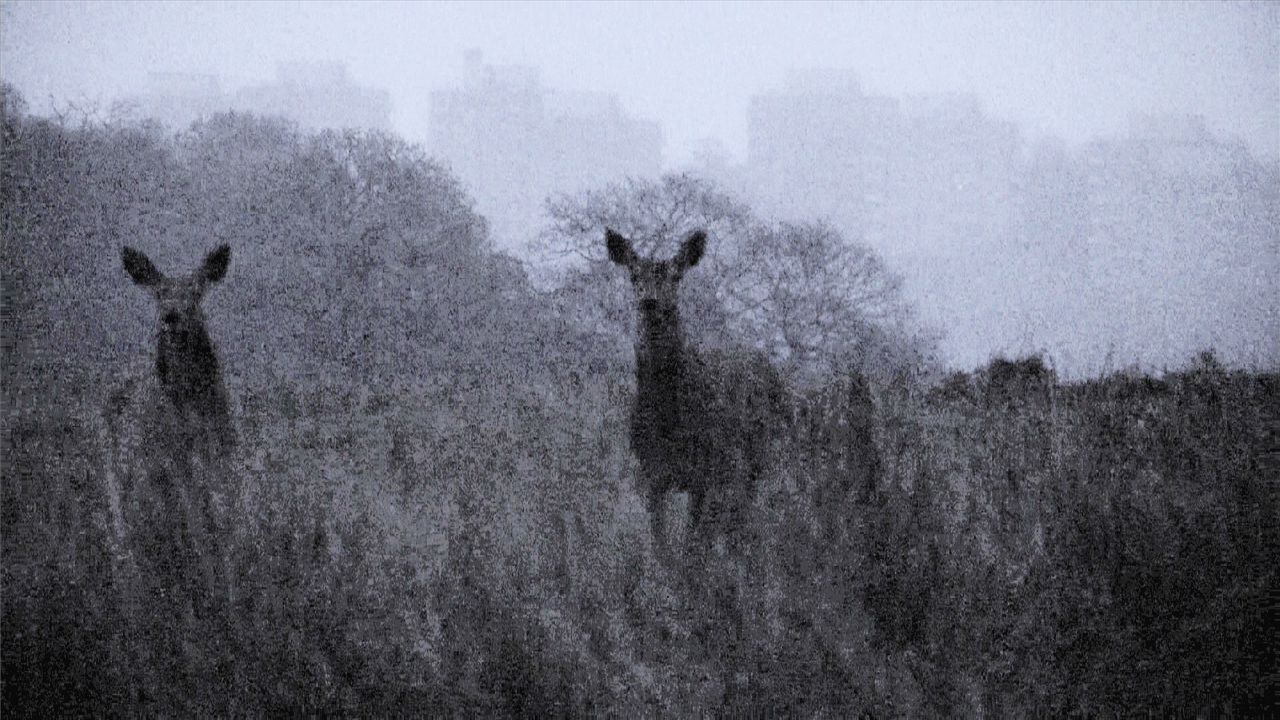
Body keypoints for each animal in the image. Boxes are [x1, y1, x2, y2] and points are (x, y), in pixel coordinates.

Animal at [604, 226, 783, 563]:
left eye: (676, 276)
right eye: (634, 274)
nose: (650, 301)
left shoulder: (713, 469)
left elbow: (694, 549)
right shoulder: (650, 474)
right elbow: (663, 549)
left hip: (754, 460)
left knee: (741, 523)